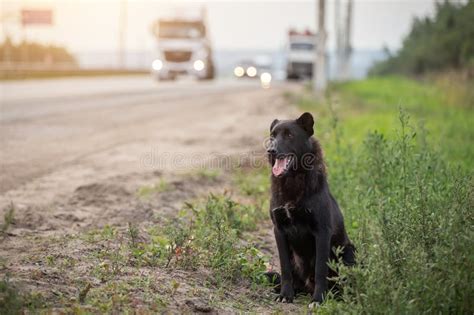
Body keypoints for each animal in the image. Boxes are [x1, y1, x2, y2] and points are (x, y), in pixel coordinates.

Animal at [266, 112, 356, 308]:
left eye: (289, 135)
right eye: (272, 136)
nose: (270, 150)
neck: (292, 180)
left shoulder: (322, 232)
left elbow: (320, 270)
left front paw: (318, 299)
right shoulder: (279, 230)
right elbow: (285, 268)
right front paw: (285, 295)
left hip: (349, 251)